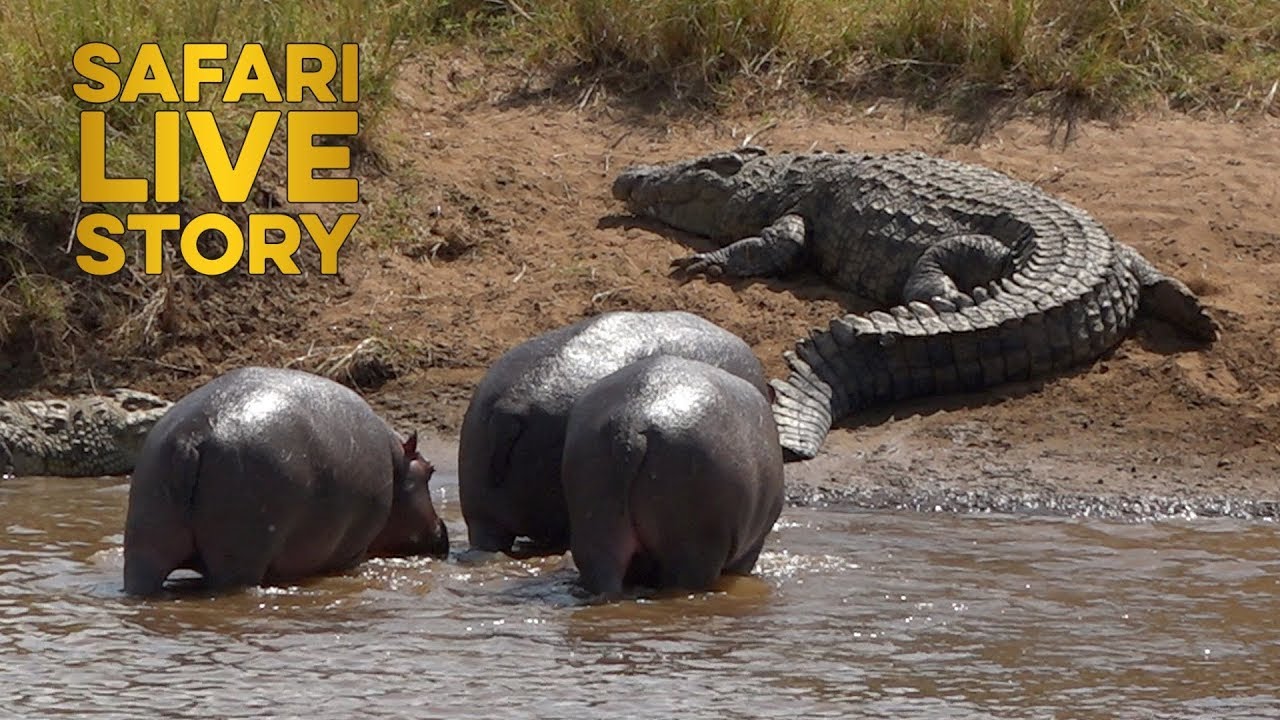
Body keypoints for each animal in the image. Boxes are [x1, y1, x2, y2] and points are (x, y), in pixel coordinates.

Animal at [123, 366, 449, 597]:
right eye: (430, 470)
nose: (443, 532)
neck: (397, 464)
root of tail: (191, 434)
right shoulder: (354, 550)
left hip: (145, 542)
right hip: (239, 558)